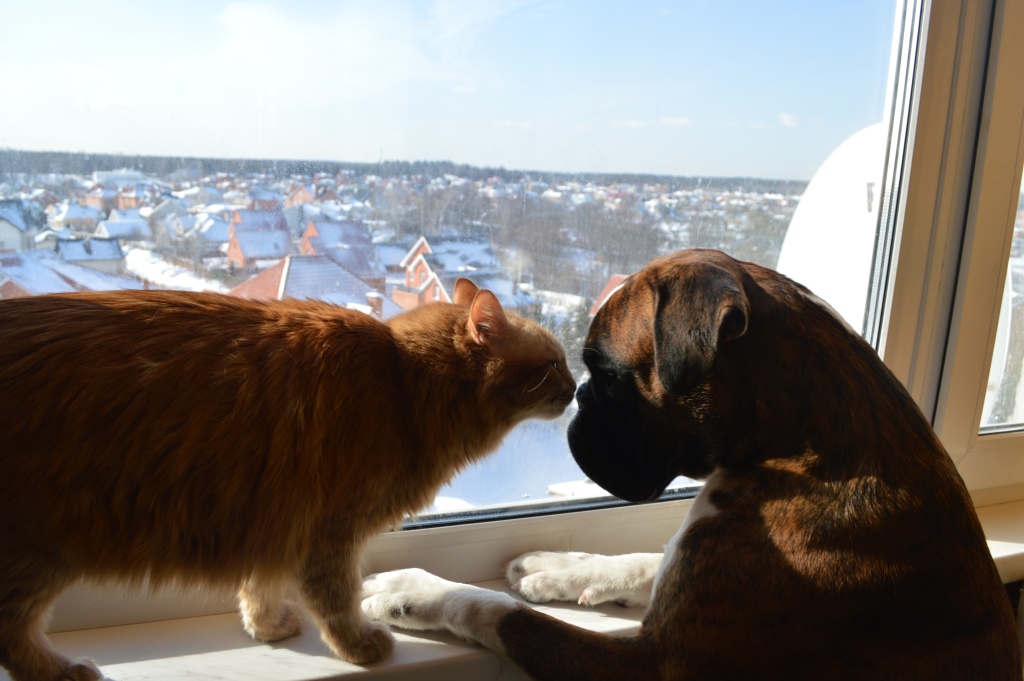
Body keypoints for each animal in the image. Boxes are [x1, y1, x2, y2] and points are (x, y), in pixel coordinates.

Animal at [0, 277, 576, 681]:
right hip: (42, 549)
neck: (402, 382)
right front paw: (358, 646)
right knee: (11, 632)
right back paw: (61, 670)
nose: (577, 387)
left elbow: (259, 585)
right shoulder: (330, 529)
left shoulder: (275, 518)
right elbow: (338, 599)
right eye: (554, 364)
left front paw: (268, 628)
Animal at [362, 249, 1020, 679]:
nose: (578, 399)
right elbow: (642, 558)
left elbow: (498, 610)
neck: (798, 448)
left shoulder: (650, 665)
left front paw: (409, 588)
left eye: (605, 374)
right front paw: (557, 567)